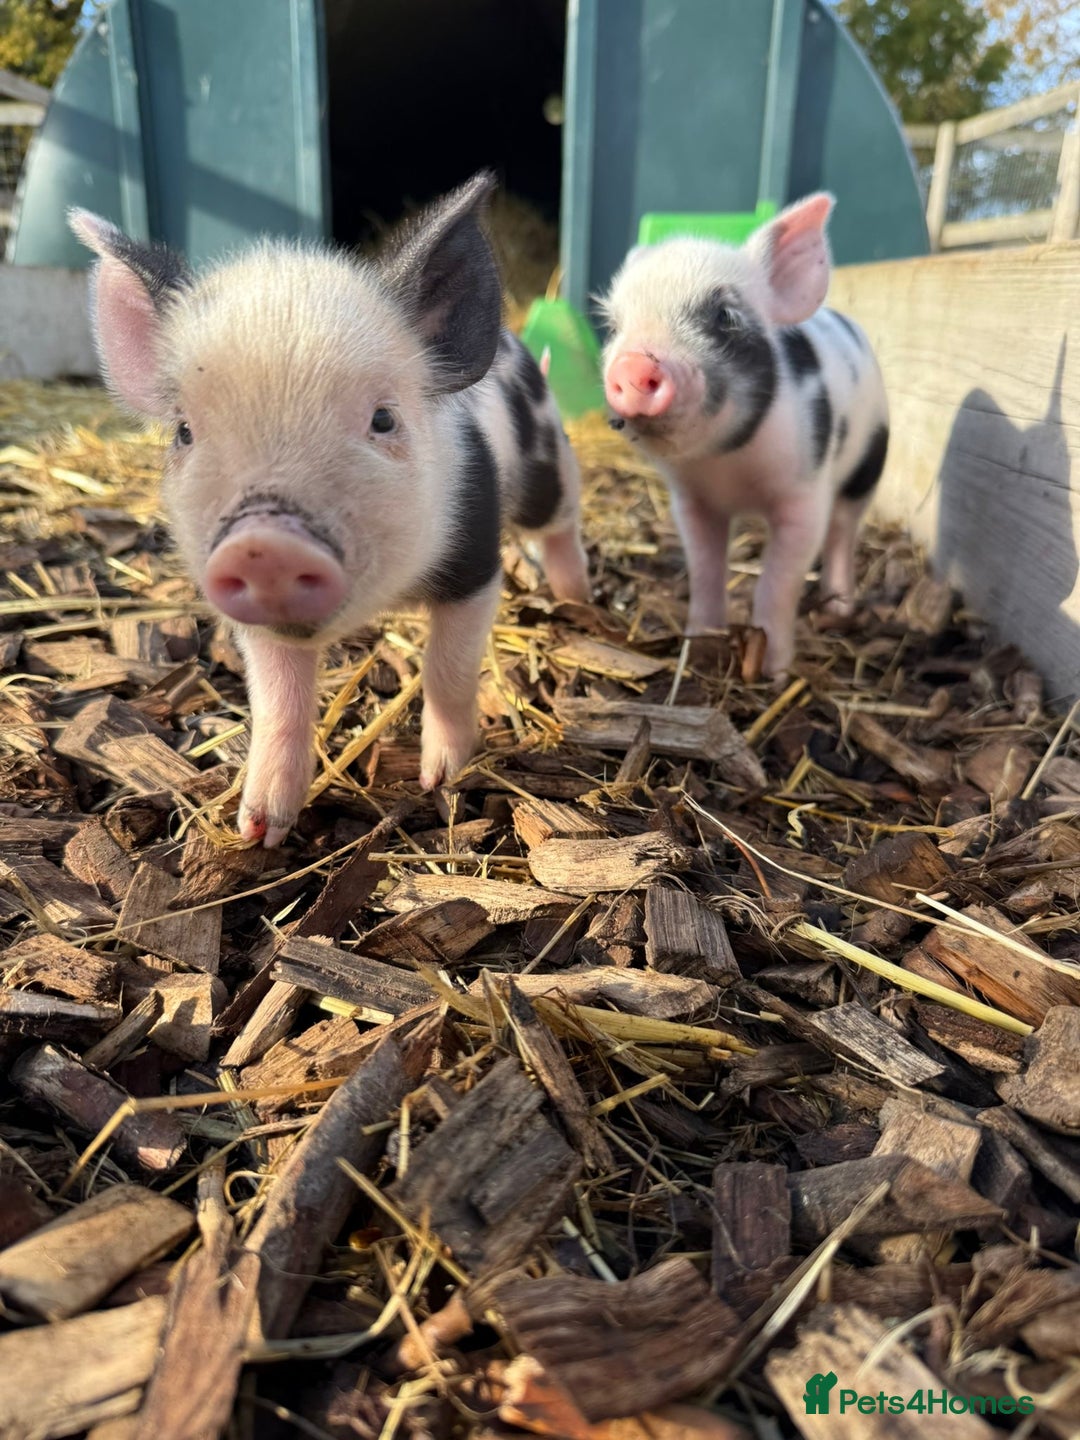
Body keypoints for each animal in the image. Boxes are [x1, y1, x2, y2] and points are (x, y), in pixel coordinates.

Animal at [70, 172, 589, 846]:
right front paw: (257, 830)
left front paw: (441, 780)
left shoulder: (474, 559)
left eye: (383, 418)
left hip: (547, 465)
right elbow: (279, 704)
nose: (263, 544)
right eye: (184, 431)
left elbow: (448, 670)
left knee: (562, 522)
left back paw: (577, 599)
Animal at [601, 193, 888, 678]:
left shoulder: (804, 496)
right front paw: (700, 642)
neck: (729, 464)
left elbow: (778, 580)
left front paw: (773, 671)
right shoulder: (692, 503)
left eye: (725, 316)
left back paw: (839, 608)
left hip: (870, 461)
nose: (632, 365)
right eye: (614, 326)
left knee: (843, 532)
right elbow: (705, 569)